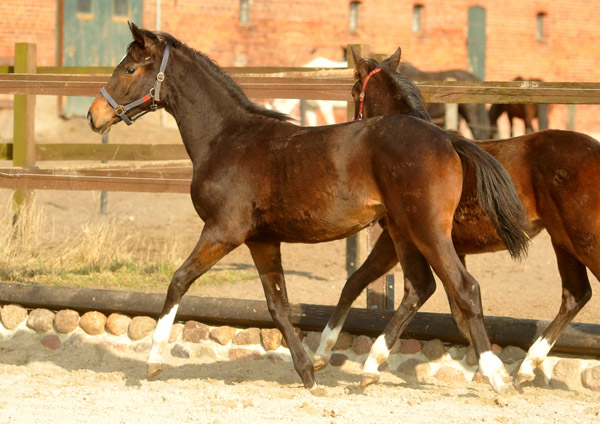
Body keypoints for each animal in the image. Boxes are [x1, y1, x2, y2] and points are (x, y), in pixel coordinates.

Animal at [86, 24, 528, 394]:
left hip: (427, 231)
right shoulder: (261, 241)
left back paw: (497, 378)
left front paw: (153, 361)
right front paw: (308, 373)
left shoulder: (222, 231)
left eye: (128, 68)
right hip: (404, 232)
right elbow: (278, 307)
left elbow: (178, 281)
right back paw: (371, 369)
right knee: (421, 288)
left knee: (464, 289)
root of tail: (448, 137)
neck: (226, 139)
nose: (94, 115)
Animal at [314, 46, 600, 388]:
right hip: (563, 239)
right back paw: (527, 367)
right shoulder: (429, 243)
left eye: (355, 90)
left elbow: (401, 288)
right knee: (575, 294)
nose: (353, 126)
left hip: (584, 238)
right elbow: (451, 310)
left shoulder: (399, 235)